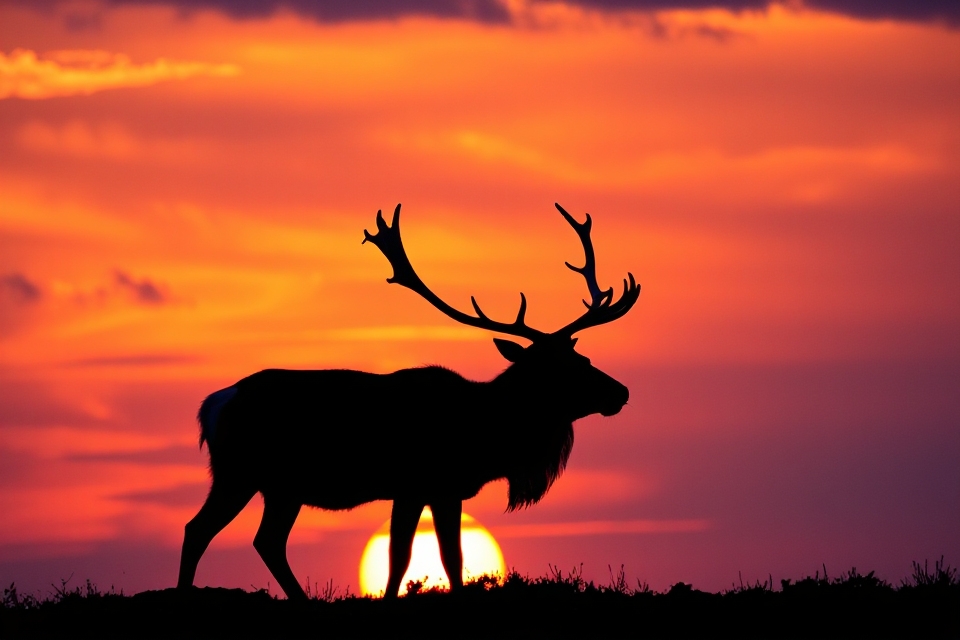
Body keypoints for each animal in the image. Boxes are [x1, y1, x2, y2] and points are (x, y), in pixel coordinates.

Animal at [176, 203, 640, 601]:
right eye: (563, 368)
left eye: (583, 357)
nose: (621, 391)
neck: (488, 435)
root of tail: (212, 405)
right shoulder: (416, 484)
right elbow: (405, 558)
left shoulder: (444, 490)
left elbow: (451, 560)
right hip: (239, 472)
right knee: (198, 529)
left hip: (281, 487)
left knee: (266, 541)